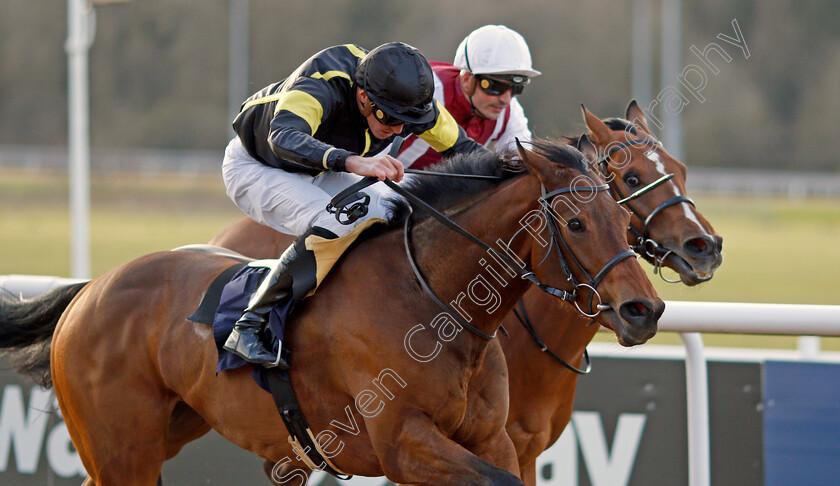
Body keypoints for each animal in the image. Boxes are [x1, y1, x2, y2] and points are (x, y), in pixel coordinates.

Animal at [1, 140, 668, 486]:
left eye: (623, 220)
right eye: (576, 224)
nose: (645, 309)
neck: (435, 303)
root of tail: (92, 289)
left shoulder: (490, 439)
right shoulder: (404, 445)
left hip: (170, 427)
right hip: (122, 450)